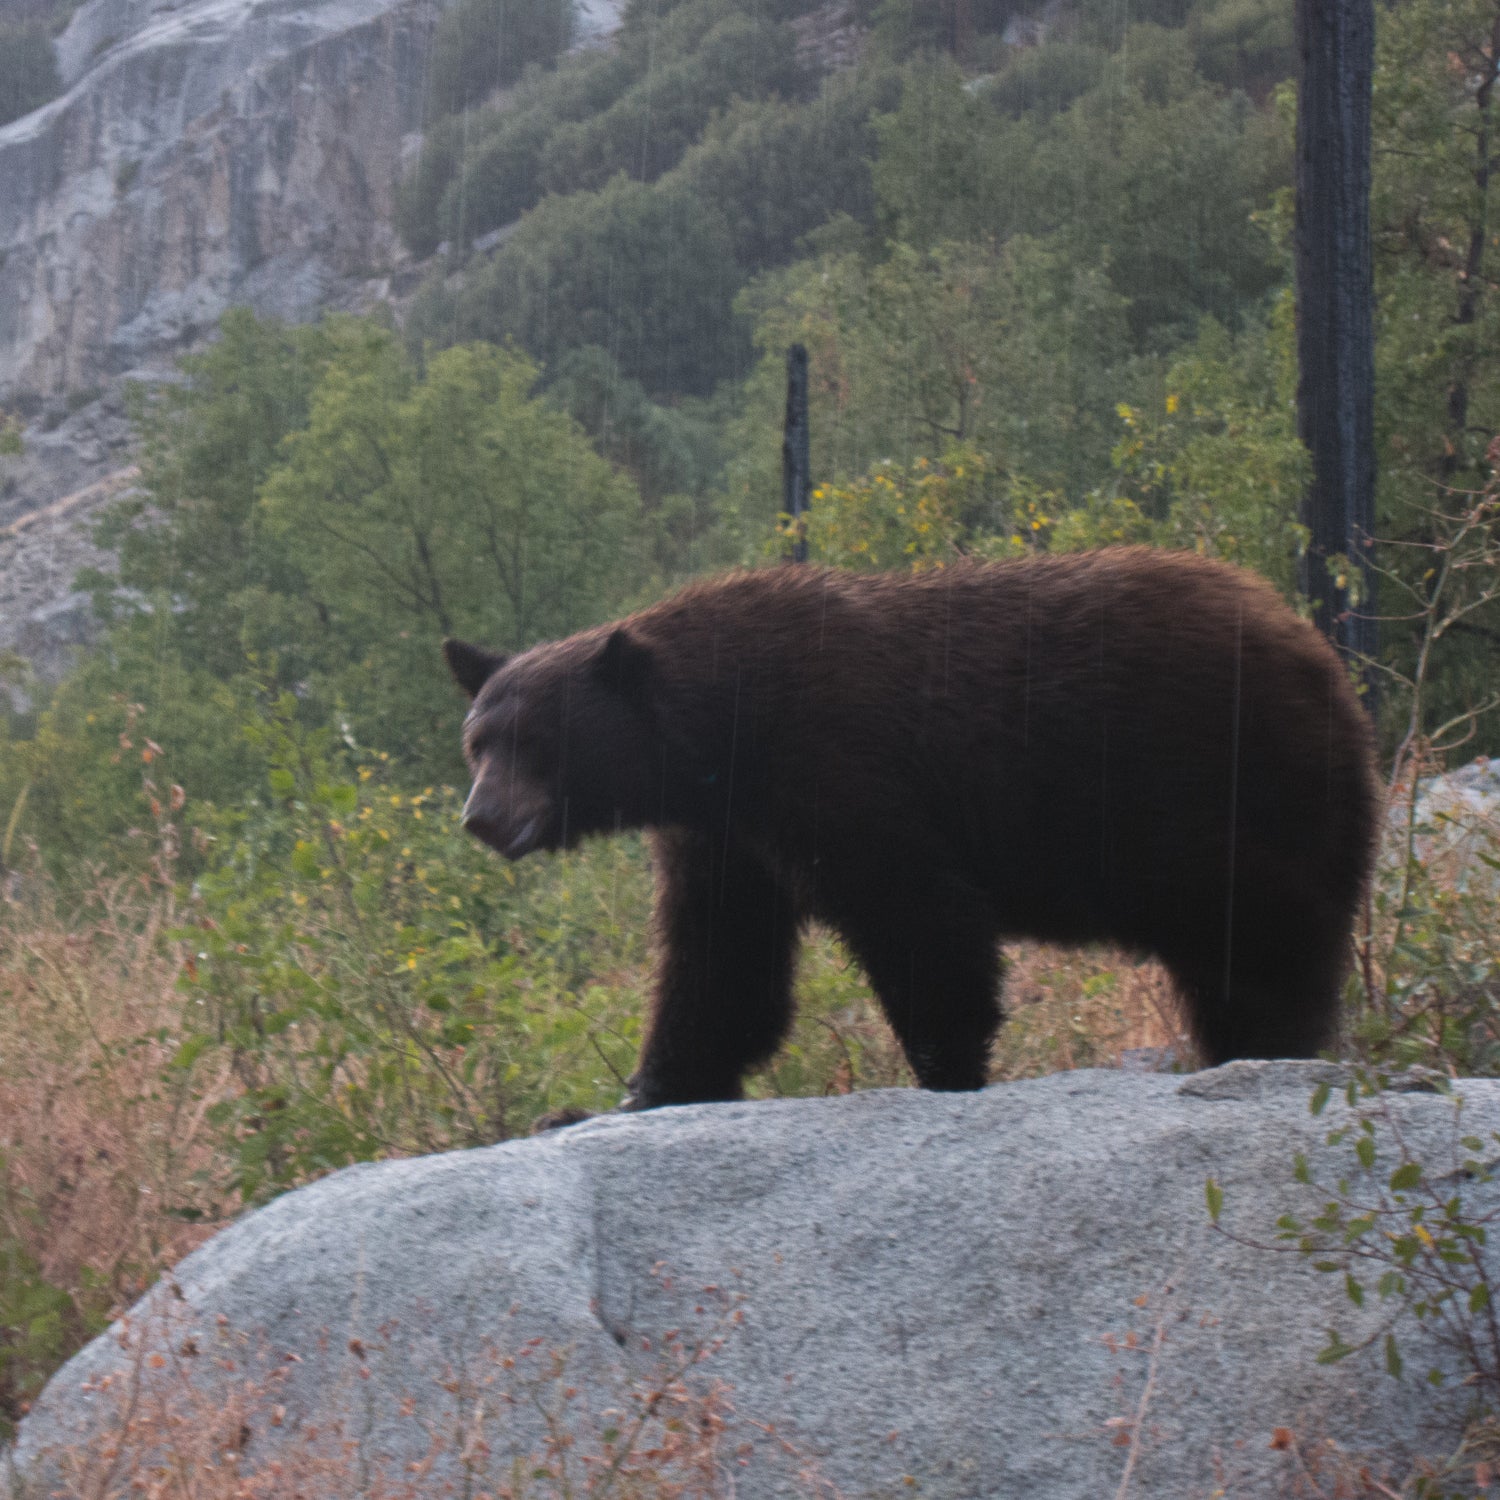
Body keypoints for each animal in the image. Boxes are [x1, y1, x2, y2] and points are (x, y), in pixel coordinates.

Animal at [441, 552, 1380, 1116]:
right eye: (477, 742)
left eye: (535, 741)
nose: (482, 817)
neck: (722, 734)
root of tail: (1316, 652)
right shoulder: (723, 833)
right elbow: (719, 959)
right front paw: (650, 1086)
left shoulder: (838, 763)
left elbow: (915, 914)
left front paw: (945, 1067)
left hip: (1208, 781)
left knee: (1261, 927)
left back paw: (1270, 1043)